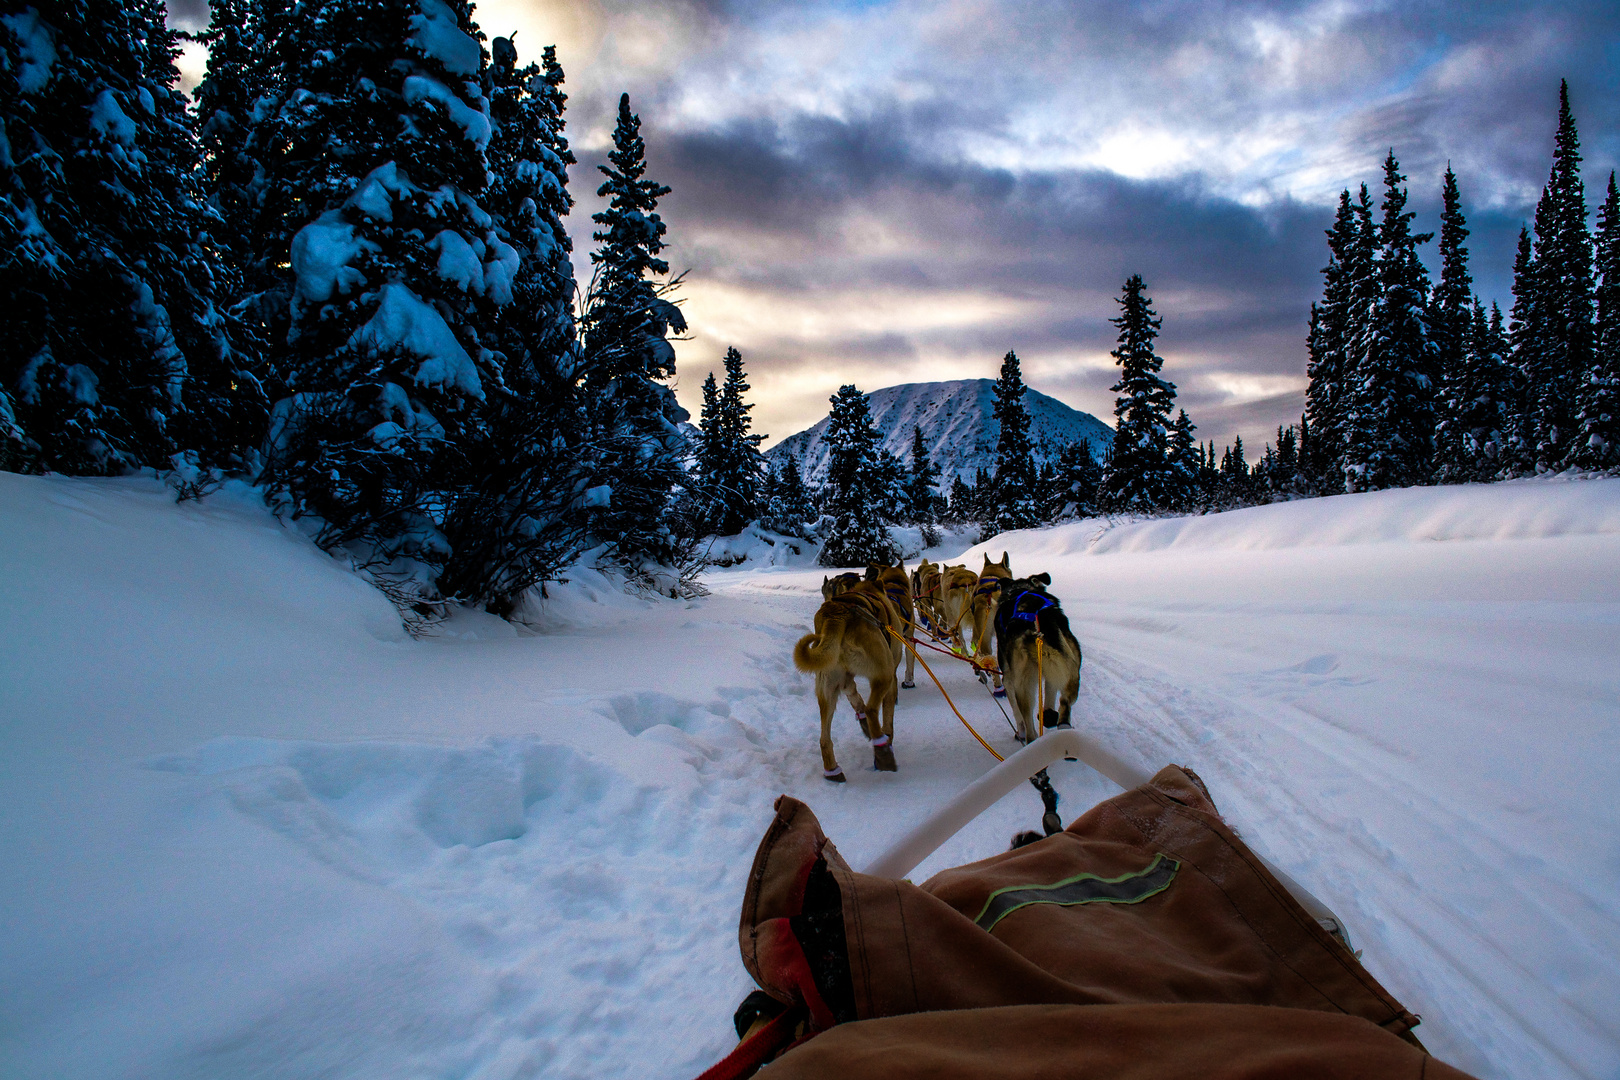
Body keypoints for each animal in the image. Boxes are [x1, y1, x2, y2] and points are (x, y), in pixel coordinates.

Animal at [790, 579, 907, 780]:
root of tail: (835, 615)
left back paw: (832, 771)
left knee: (824, 739)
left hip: (827, 689)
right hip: (883, 674)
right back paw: (882, 750)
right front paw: (887, 737)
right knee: (871, 710)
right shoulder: (891, 677)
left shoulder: (845, 681)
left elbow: (855, 697)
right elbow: (887, 718)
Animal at [991, 573, 1082, 744]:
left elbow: (1016, 714)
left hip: (1023, 686)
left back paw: (1029, 739)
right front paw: (1047, 715)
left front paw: (1019, 732)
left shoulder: (1008, 679)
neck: (1020, 589)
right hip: (1071, 673)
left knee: (1029, 728)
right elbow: (1050, 694)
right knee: (1064, 704)